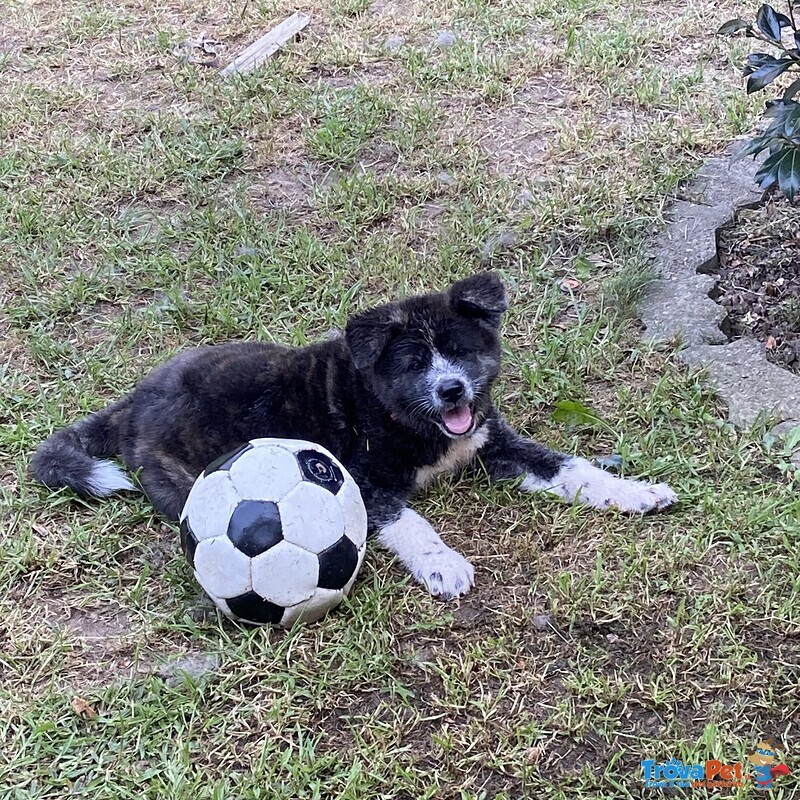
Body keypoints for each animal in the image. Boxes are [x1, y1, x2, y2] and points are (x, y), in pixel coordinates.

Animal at [34, 272, 680, 596]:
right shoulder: (365, 483)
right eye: (415, 362)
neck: (399, 413)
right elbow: (413, 523)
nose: (453, 391)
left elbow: (572, 468)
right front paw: (443, 564)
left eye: (459, 351)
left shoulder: (494, 445)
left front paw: (635, 492)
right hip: (177, 481)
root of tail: (132, 403)